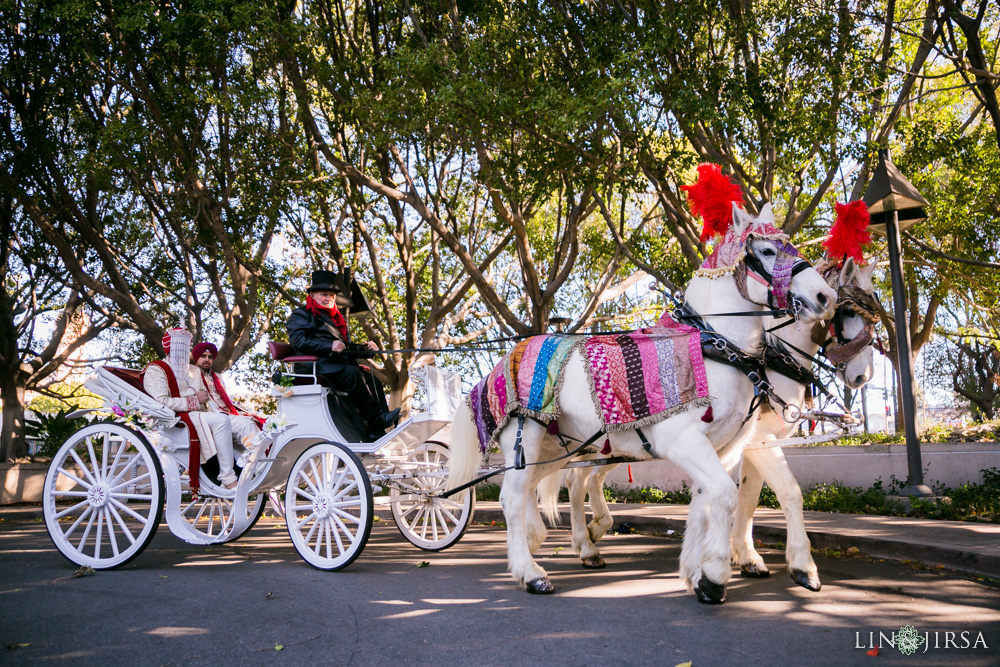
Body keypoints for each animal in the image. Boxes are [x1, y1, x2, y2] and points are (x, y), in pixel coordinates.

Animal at [452, 205, 836, 604]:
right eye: (767, 251)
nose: (826, 296)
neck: (714, 347)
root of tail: (497, 367)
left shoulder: (724, 448)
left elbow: (707, 503)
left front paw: (695, 572)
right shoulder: (688, 441)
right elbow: (727, 497)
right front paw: (715, 575)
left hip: (554, 448)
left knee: (536, 487)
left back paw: (544, 542)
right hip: (525, 435)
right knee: (513, 497)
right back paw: (532, 572)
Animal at [540, 258, 876, 592]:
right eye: (848, 311)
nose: (863, 376)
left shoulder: (750, 441)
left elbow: (747, 495)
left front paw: (742, 556)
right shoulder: (761, 439)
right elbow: (785, 492)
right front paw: (798, 564)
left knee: (585, 481)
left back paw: (591, 535)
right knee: (575, 482)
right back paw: (585, 542)